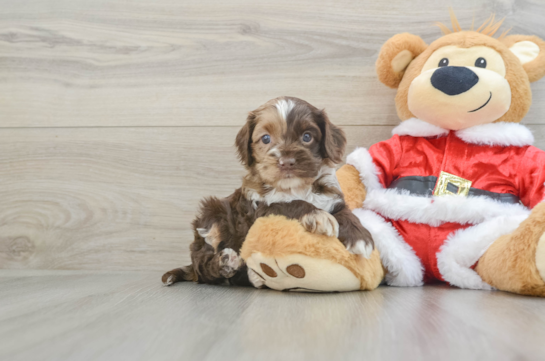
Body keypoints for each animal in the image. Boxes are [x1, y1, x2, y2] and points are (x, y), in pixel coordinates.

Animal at [162, 95, 374, 286]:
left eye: (307, 137)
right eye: (265, 139)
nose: (286, 161)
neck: (294, 187)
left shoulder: (331, 197)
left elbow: (345, 212)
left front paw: (360, 237)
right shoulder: (260, 210)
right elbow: (289, 204)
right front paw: (317, 215)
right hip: (211, 218)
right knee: (204, 267)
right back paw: (228, 263)